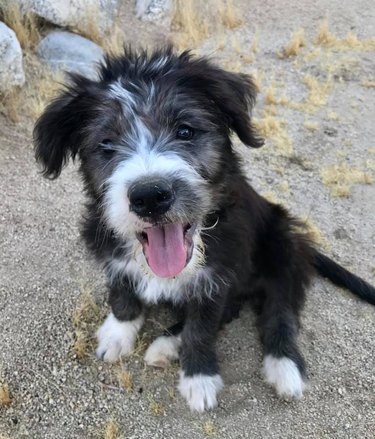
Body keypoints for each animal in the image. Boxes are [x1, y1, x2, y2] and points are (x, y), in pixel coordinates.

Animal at [33, 47, 375, 412]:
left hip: (283, 246)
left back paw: (283, 368)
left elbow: (202, 329)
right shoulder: (114, 257)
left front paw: (199, 379)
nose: (149, 196)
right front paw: (117, 334)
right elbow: (123, 293)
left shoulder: (216, 278)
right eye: (106, 145)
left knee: (279, 311)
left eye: (185, 131)